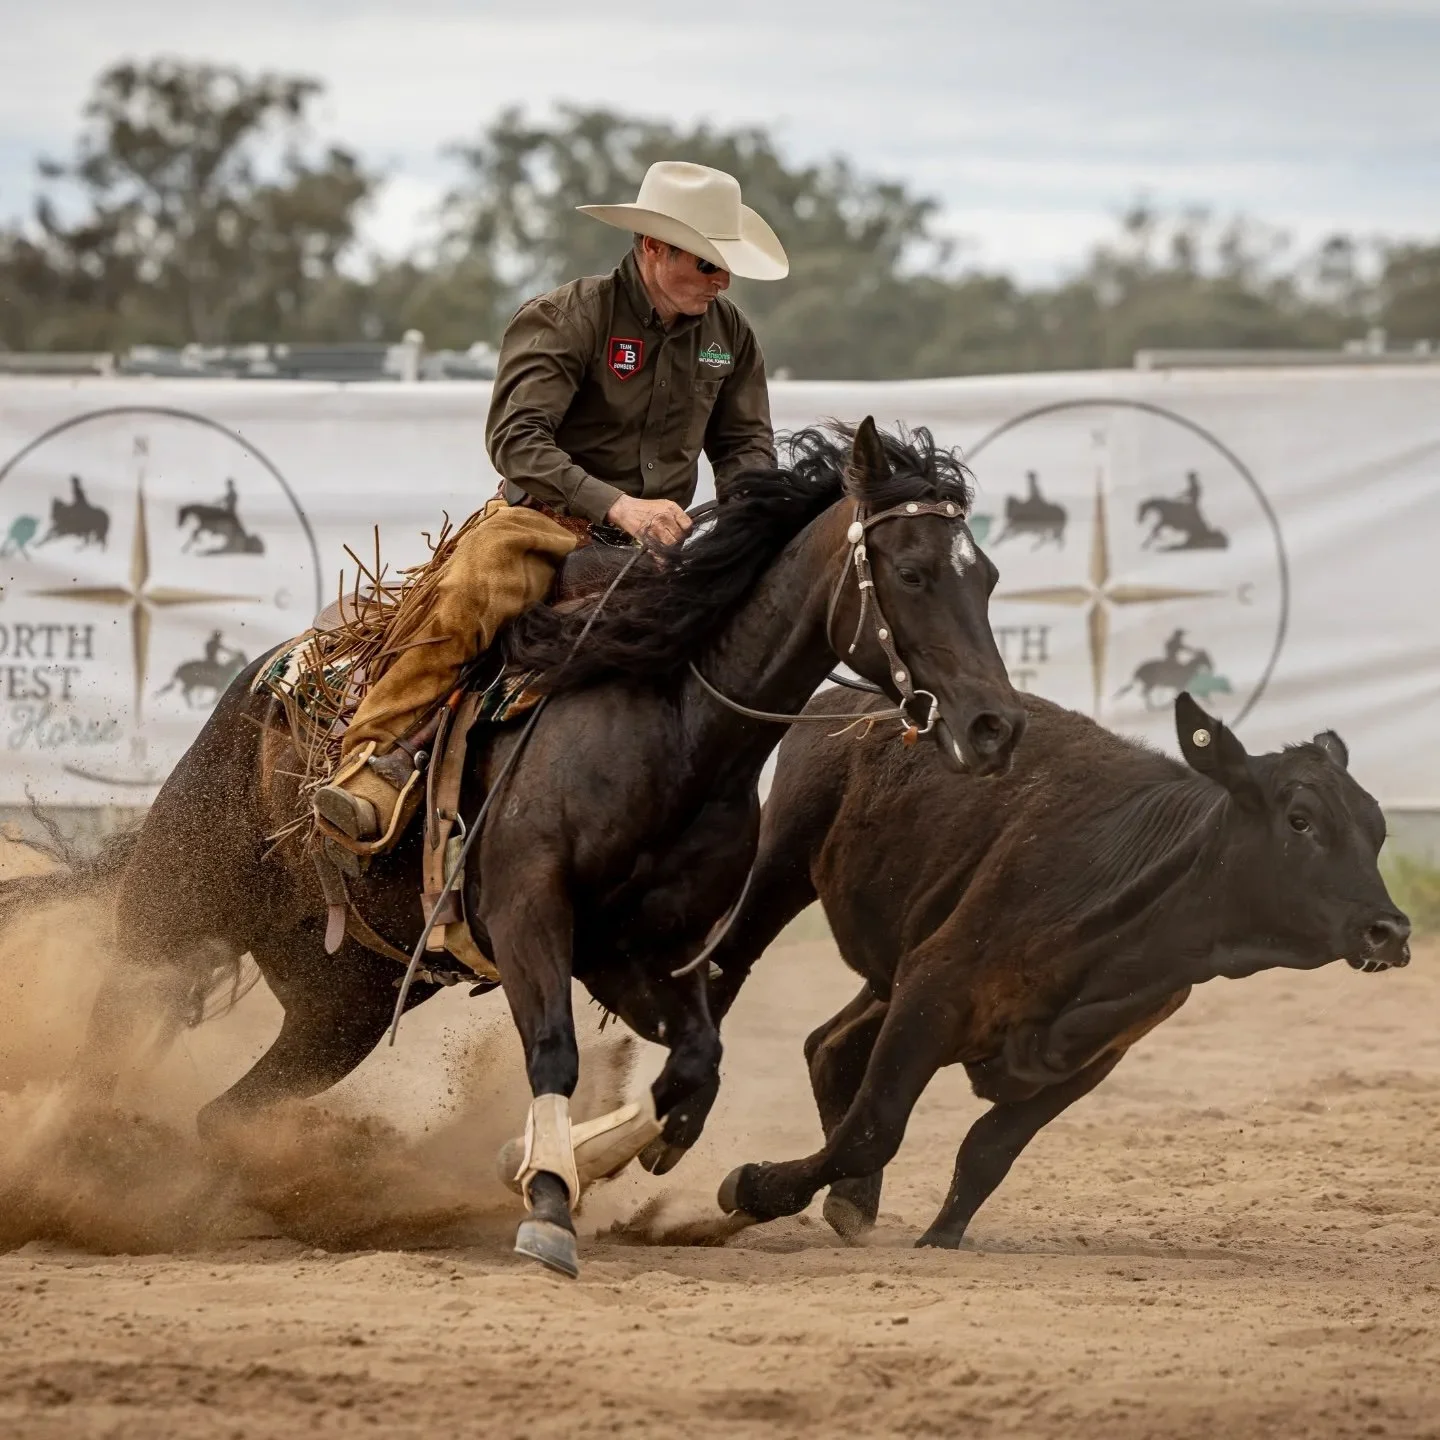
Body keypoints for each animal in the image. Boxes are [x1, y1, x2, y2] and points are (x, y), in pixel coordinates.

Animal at [77, 419, 1026, 1279]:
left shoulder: (639, 951)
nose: (996, 726)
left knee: (224, 1115)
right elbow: (557, 1051)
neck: (673, 726)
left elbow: (696, 1068)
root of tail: (269, 677)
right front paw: (545, 1206)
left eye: (987, 578)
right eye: (912, 573)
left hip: (338, 1008)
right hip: (173, 912)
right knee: (115, 1030)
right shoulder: (529, 912)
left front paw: (554, 1163)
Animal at [700, 689, 1412, 1249]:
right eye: (1301, 821)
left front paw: (937, 1239)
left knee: (831, 1046)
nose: (1392, 931)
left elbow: (987, 1152)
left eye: (1378, 831)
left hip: (890, 962)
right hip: (779, 864)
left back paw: (854, 1201)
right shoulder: (933, 988)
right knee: (729, 972)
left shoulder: (1093, 1057)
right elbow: (873, 1127)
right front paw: (752, 1187)